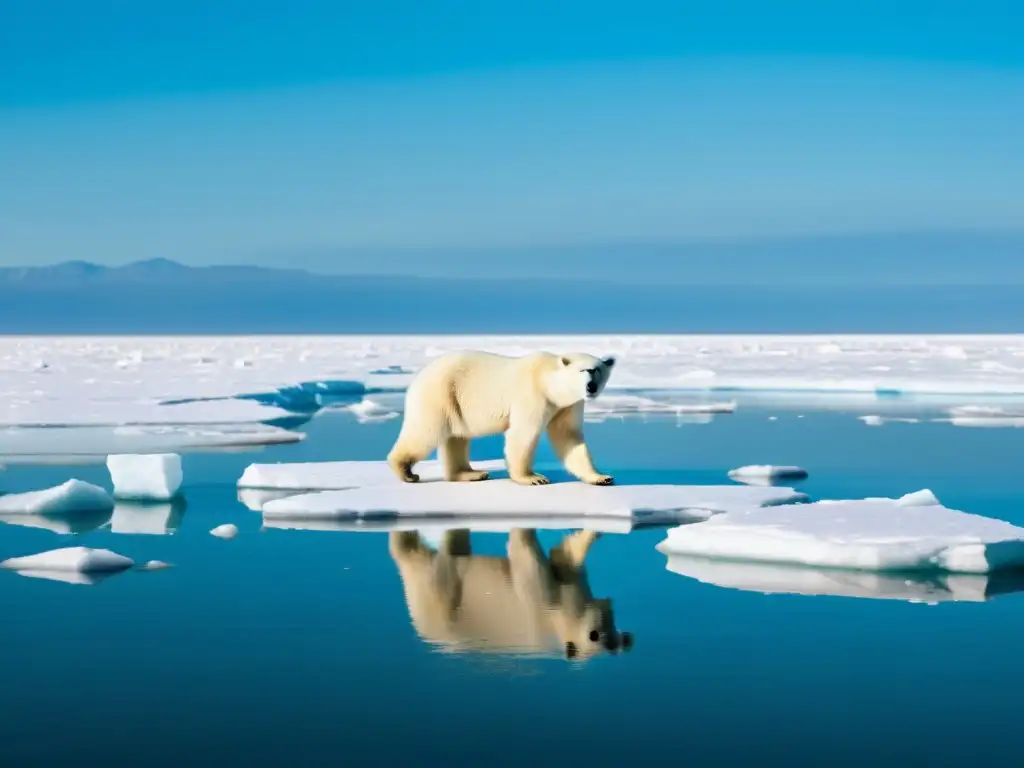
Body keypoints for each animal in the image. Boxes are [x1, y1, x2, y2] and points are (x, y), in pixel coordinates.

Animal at [385, 350, 614, 483]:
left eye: (597, 370)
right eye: (584, 370)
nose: (591, 387)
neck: (547, 380)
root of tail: (417, 379)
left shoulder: (567, 405)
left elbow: (569, 436)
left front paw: (601, 477)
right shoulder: (532, 395)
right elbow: (524, 434)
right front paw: (532, 478)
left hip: (455, 404)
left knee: (456, 438)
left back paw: (471, 473)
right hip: (441, 394)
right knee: (426, 432)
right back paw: (406, 471)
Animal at [387, 528, 630, 663]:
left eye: (614, 638)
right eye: (593, 635)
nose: (624, 638)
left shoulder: (567, 590)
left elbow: (565, 559)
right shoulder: (538, 602)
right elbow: (524, 552)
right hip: (441, 599)